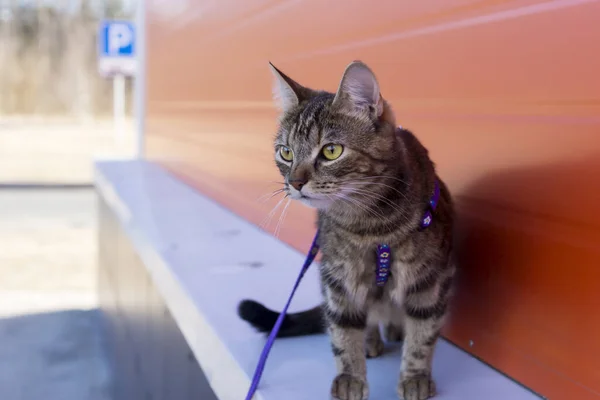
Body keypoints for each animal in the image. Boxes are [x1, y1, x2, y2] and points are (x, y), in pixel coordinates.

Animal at [239, 60, 454, 400]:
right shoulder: (337, 278)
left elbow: (423, 334)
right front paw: (349, 378)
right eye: (286, 153)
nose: (295, 183)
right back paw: (372, 340)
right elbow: (343, 331)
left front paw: (415, 376)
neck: (371, 226)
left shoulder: (430, 280)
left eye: (331, 151)